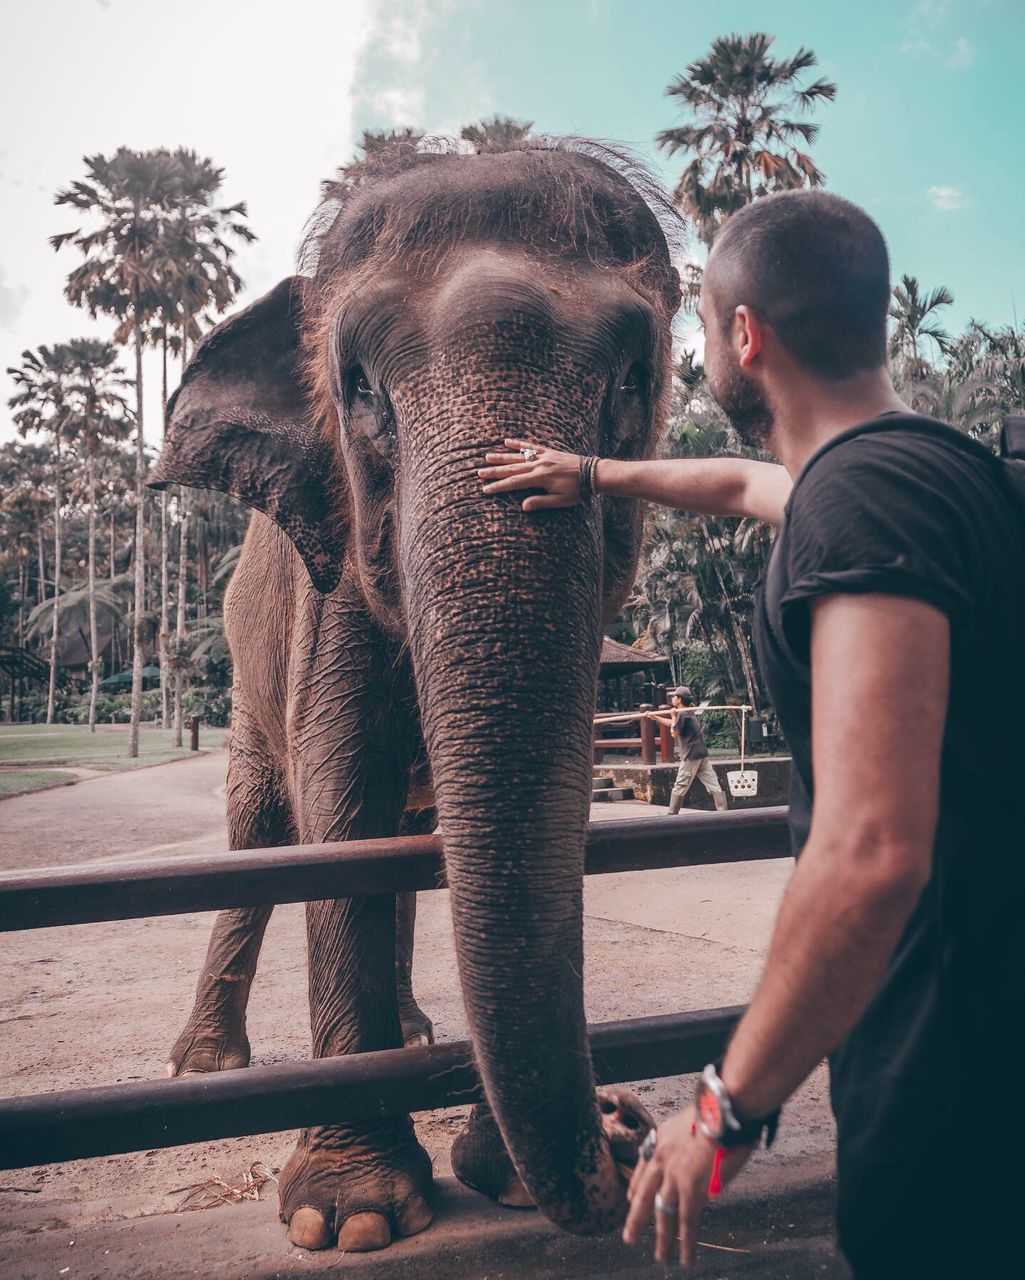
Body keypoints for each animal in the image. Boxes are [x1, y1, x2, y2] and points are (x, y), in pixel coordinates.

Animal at [149, 137, 680, 1249]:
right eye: (358, 388)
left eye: (629, 379)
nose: (624, 1131)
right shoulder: (333, 588)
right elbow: (337, 805)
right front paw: (346, 1217)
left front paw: (504, 1180)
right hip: (246, 686)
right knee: (261, 832)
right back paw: (208, 1062)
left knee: (403, 838)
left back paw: (412, 1031)